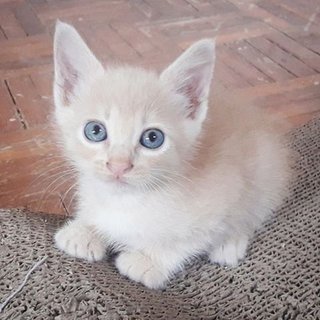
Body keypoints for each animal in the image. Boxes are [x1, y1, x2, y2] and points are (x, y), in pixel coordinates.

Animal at [53, 21, 292, 288]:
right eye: (95, 131)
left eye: (152, 138)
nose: (119, 165)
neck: (128, 200)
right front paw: (84, 229)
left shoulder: (224, 196)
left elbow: (186, 241)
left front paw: (148, 260)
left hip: (267, 172)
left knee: (254, 210)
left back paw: (230, 243)